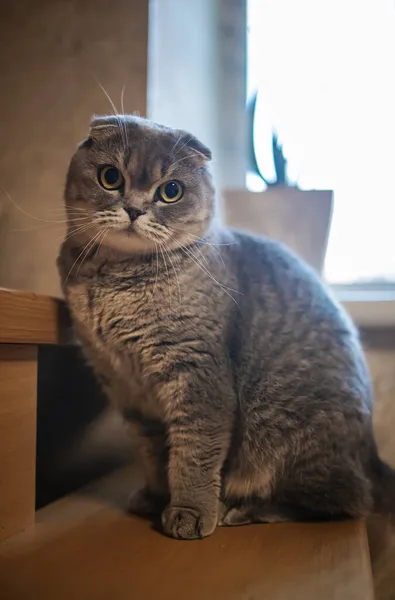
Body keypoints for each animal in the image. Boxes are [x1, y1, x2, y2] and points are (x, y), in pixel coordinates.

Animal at [57, 113, 394, 540]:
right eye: (110, 177)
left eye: (170, 191)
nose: (133, 209)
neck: (115, 283)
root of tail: (374, 460)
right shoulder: (125, 389)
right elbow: (153, 454)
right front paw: (156, 496)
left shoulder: (199, 376)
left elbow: (194, 454)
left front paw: (189, 511)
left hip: (283, 432)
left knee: (345, 502)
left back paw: (243, 509)